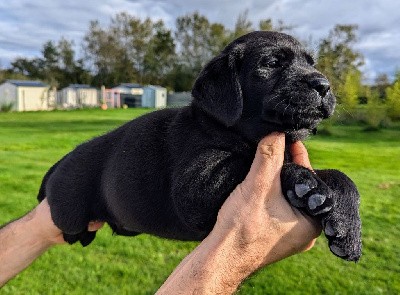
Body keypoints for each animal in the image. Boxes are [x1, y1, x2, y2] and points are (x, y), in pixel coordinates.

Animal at [38, 31, 362, 262]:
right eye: (271, 64)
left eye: (311, 64)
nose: (324, 85)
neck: (226, 127)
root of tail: (61, 163)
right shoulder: (195, 187)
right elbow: (253, 163)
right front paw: (306, 183)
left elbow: (341, 176)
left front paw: (348, 230)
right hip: (68, 211)